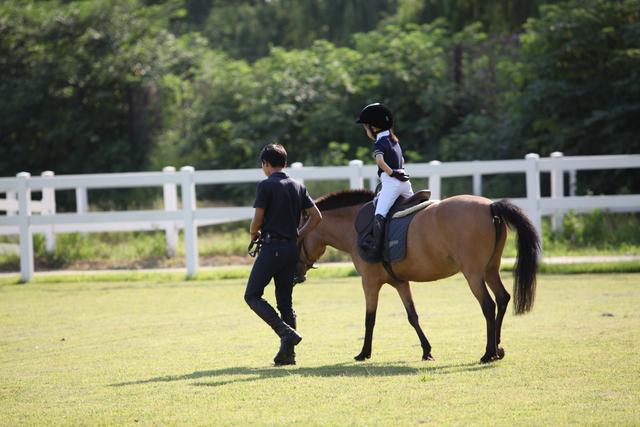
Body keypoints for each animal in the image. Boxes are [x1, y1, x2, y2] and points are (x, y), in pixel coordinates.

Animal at [296, 191, 540, 364]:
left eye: (297, 236)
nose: (296, 276)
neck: (355, 226)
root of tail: (490, 206)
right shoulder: (400, 283)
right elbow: (412, 316)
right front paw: (427, 351)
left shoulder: (369, 283)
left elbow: (370, 319)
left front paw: (364, 353)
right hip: (490, 270)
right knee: (502, 298)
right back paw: (497, 348)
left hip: (474, 275)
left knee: (488, 305)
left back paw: (488, 353)